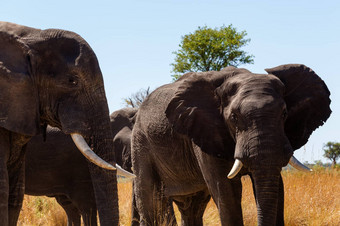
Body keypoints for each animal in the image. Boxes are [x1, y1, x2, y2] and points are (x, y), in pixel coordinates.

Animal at [131, 64, 330, 226]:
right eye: (234, 117)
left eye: (284, 113)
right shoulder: (205, 130)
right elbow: (226, 190)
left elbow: (277, 188)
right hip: (141, 142)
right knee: (150, 198)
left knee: (192, 206)